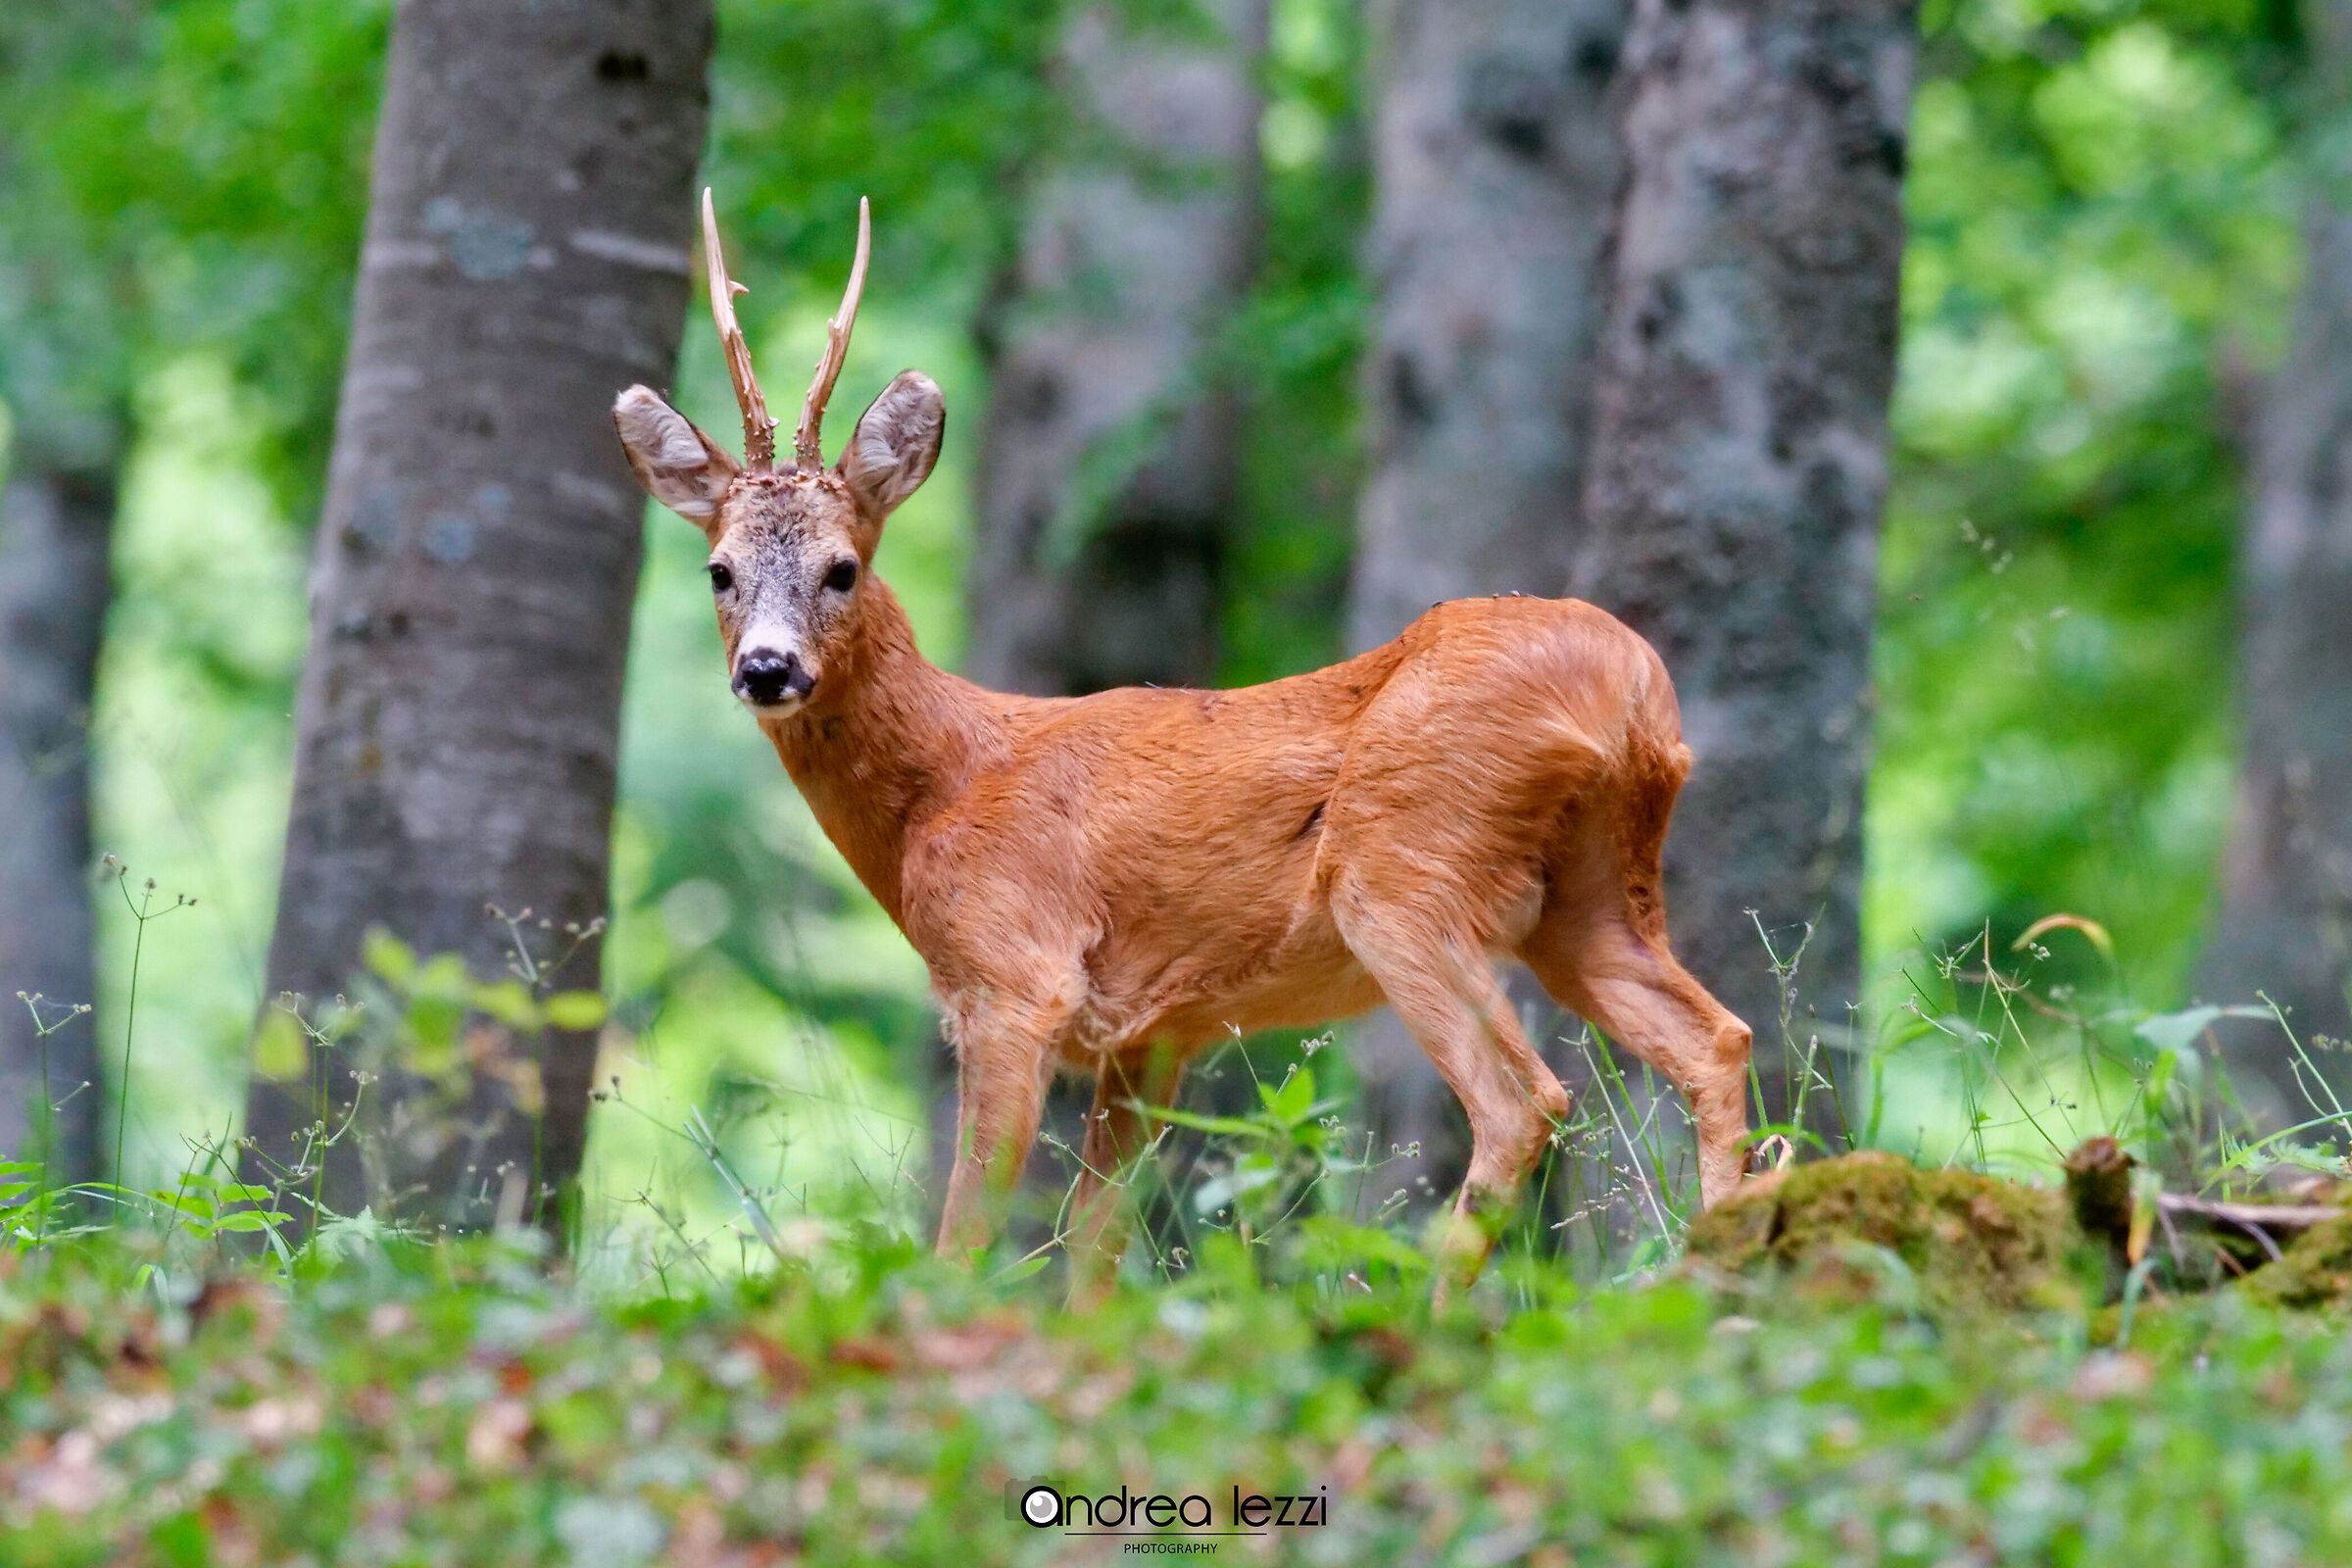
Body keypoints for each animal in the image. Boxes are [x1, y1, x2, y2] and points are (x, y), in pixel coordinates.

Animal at [611, 192, 1755, 1302]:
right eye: (718, 570)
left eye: (842, 568)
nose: (768, 669)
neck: (946, 785)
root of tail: (1632, 681)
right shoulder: (1150, 1035)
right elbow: (1094, 1255)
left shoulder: (1013, 975)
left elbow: (964, 1243)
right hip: (1587, 894)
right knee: (1717, 1039)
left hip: (1406, 869)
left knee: (1524, 1099)